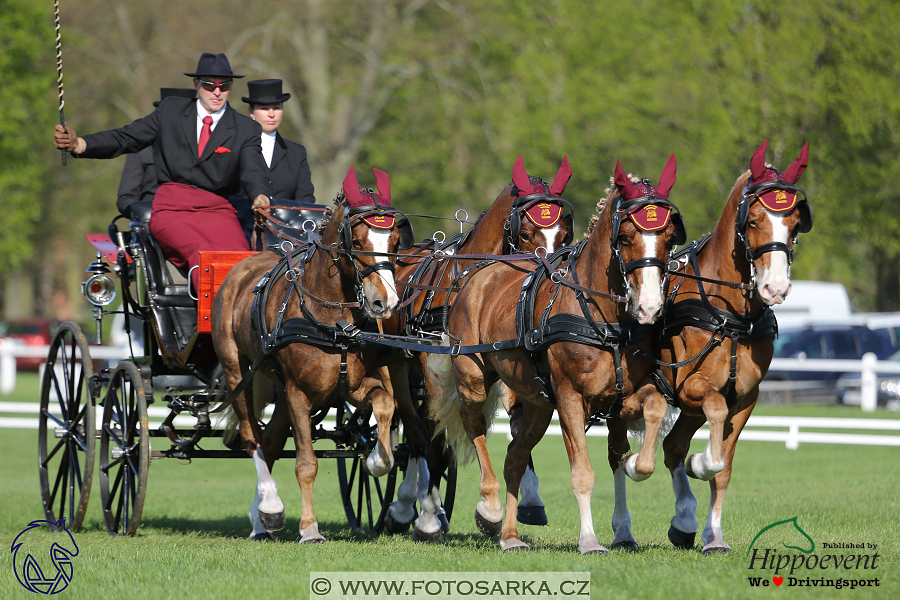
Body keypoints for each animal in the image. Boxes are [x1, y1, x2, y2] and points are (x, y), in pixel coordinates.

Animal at [211, 165, 412, 544]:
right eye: (357, 242)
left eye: (395, 243)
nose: (386, 303)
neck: (333, 320)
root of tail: (240, 270)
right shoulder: (298, 393)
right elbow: (306, 463)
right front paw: (309, 528)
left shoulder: (353, 387)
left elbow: (384, 406)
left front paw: (376, 460)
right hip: (238, 373)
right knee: (251, 437)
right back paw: (270, 505)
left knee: (270, 441)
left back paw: (261, 519)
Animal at [384, 155, 572, 540]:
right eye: (525, 233)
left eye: (563, 233)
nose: (548, 280)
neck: (465, 280)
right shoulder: (441, 372)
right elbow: (433, 438)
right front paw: (430, 515)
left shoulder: (510, 361)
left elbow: (517, 423)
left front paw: (529, 500)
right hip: (402, 370)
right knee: (417, 429)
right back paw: (411, 507)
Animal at [426, 156, 684, 552]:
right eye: (624, 237)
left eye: (670, 238)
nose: (650, 307)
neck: (604, 319)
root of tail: (475, 272)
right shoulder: (569, 399)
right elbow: (582, 473)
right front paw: (589, 540)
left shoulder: (621, 397)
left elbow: (650, 420)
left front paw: (632, 465)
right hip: (473, 377)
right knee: (475, 427)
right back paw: (489, 508)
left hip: (536, 402)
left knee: (515, 458)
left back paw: (511, 536)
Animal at [608, 139, 812, 552]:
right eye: (753, 221)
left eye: (795, 224)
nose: (775, 287)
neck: (730, 313)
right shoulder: (691, 388)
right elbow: (714, 419)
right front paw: (700, 463)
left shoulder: (745, 398)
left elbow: (723, 467)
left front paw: (713, 534)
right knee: (619, 456)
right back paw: (624, 529)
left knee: (672, 447)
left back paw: (684, 520)